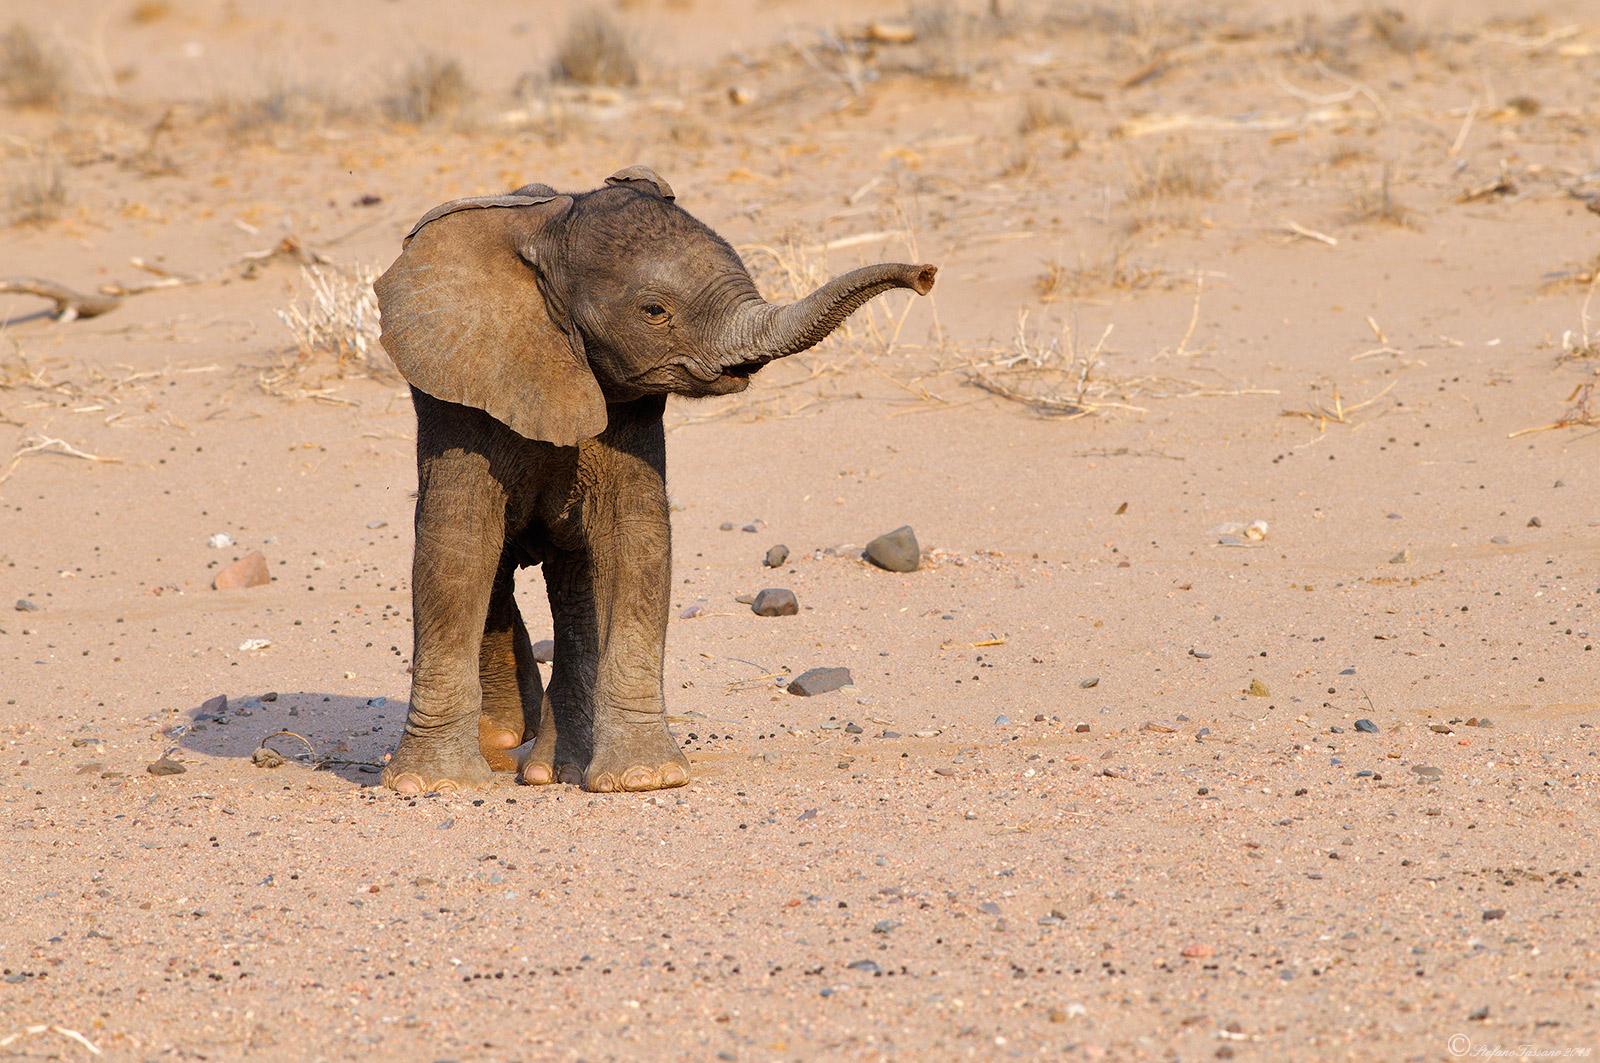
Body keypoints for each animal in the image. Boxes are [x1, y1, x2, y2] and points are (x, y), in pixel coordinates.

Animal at [371, 165, 936, 794]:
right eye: (654, 311)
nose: (926, 275)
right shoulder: (462, 391)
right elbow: (458, 546)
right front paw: (430, 786)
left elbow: (633, 539)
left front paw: (645, 778)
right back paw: (502, 741)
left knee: (575, 581)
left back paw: (551, 769)